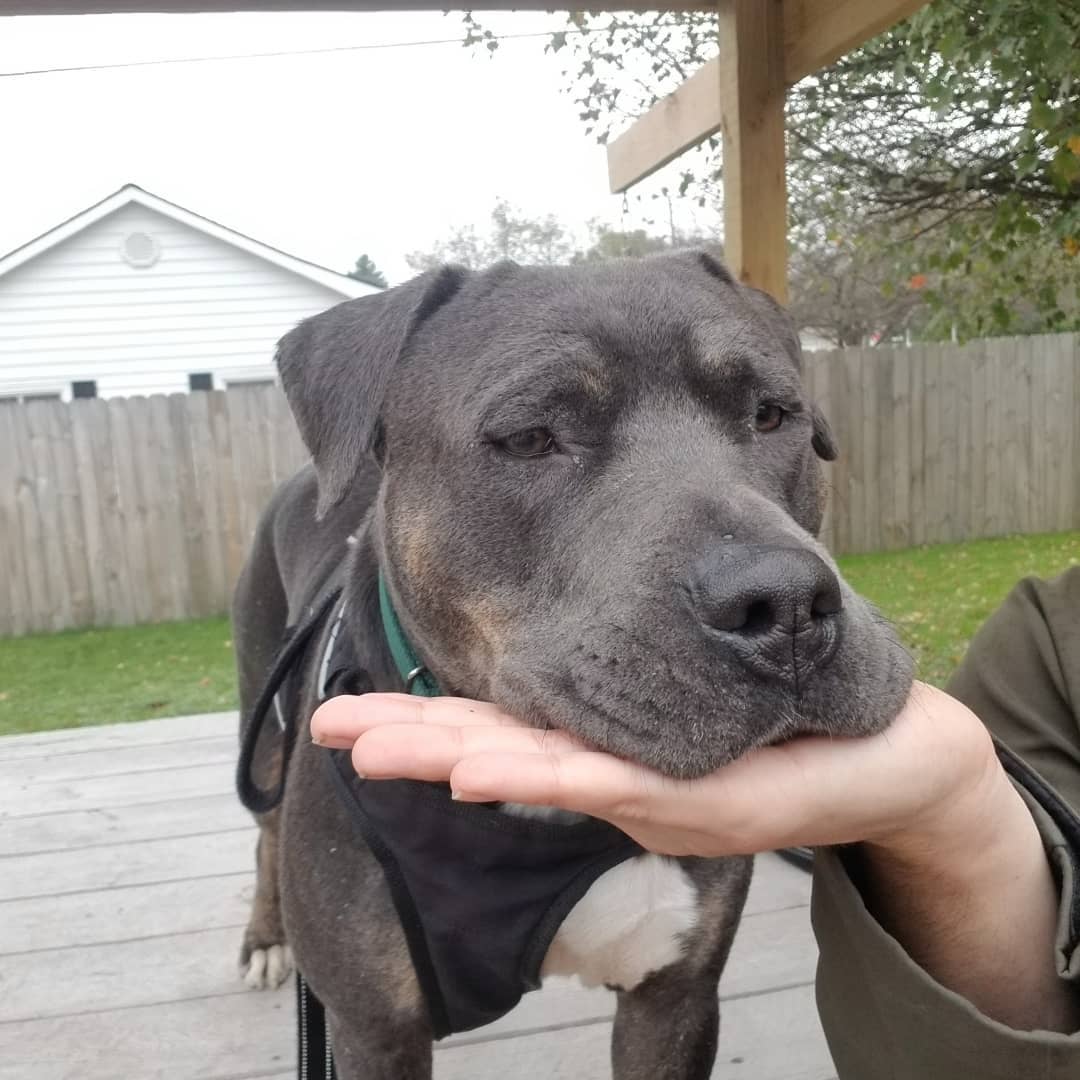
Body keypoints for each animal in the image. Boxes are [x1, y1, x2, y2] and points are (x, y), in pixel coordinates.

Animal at [234, 248, 911, 1075]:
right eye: (530, 438)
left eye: (772, 415)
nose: (785, 604)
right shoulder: (372, 1031)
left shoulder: (673, 999)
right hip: (263, 726)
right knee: (263, 831)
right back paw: (265, 941)